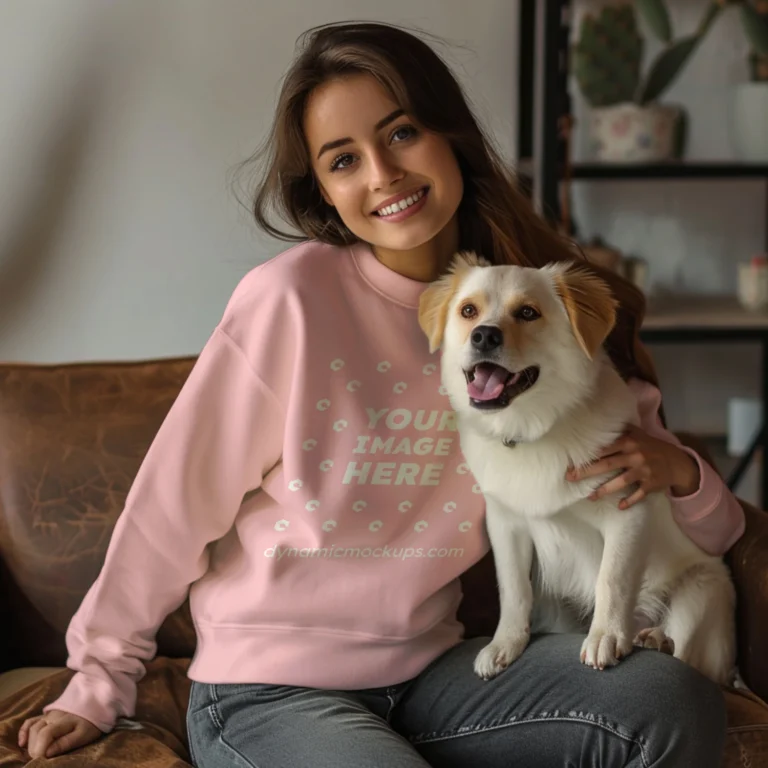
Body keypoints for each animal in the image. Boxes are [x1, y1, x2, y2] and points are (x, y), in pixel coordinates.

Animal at [420, 252, 736, 684]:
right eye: (468, 311)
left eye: (528, 312)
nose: (483, 336)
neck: (533, 430)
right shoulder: (506, 525)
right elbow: (513, 589)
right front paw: (505, 643)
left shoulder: (626, 512)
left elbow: (612, 580)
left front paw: (606, 636)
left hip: (701, 591)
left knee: (690, 656)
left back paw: (655, 639)